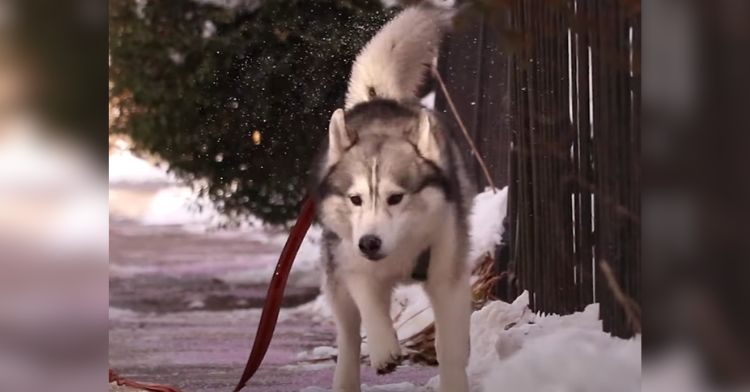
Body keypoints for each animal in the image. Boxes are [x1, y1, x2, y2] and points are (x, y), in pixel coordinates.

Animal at [312, 6, 476, 392]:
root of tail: (378, 99)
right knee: (348, 332)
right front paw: (384, 347)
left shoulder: (448, 275)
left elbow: (449, 346)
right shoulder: (350, 258)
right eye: (355, 199)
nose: (370, 243)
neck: (401, 252)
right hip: (336, 278)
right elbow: (369, 302)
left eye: (395, 197)